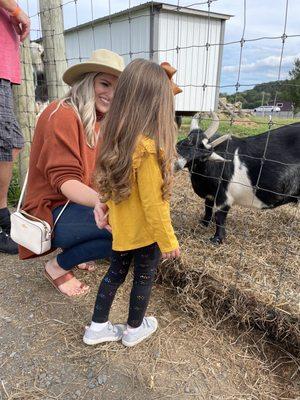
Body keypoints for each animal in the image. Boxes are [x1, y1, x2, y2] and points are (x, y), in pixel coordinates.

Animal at [176, 112, 300, 244]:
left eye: (204, 154)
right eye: (187, 140)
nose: (177, 162)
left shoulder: (223, 197)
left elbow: (219, 216)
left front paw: (217, 239)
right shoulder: (210, 194)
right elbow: (208, 208)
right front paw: (203, 223)